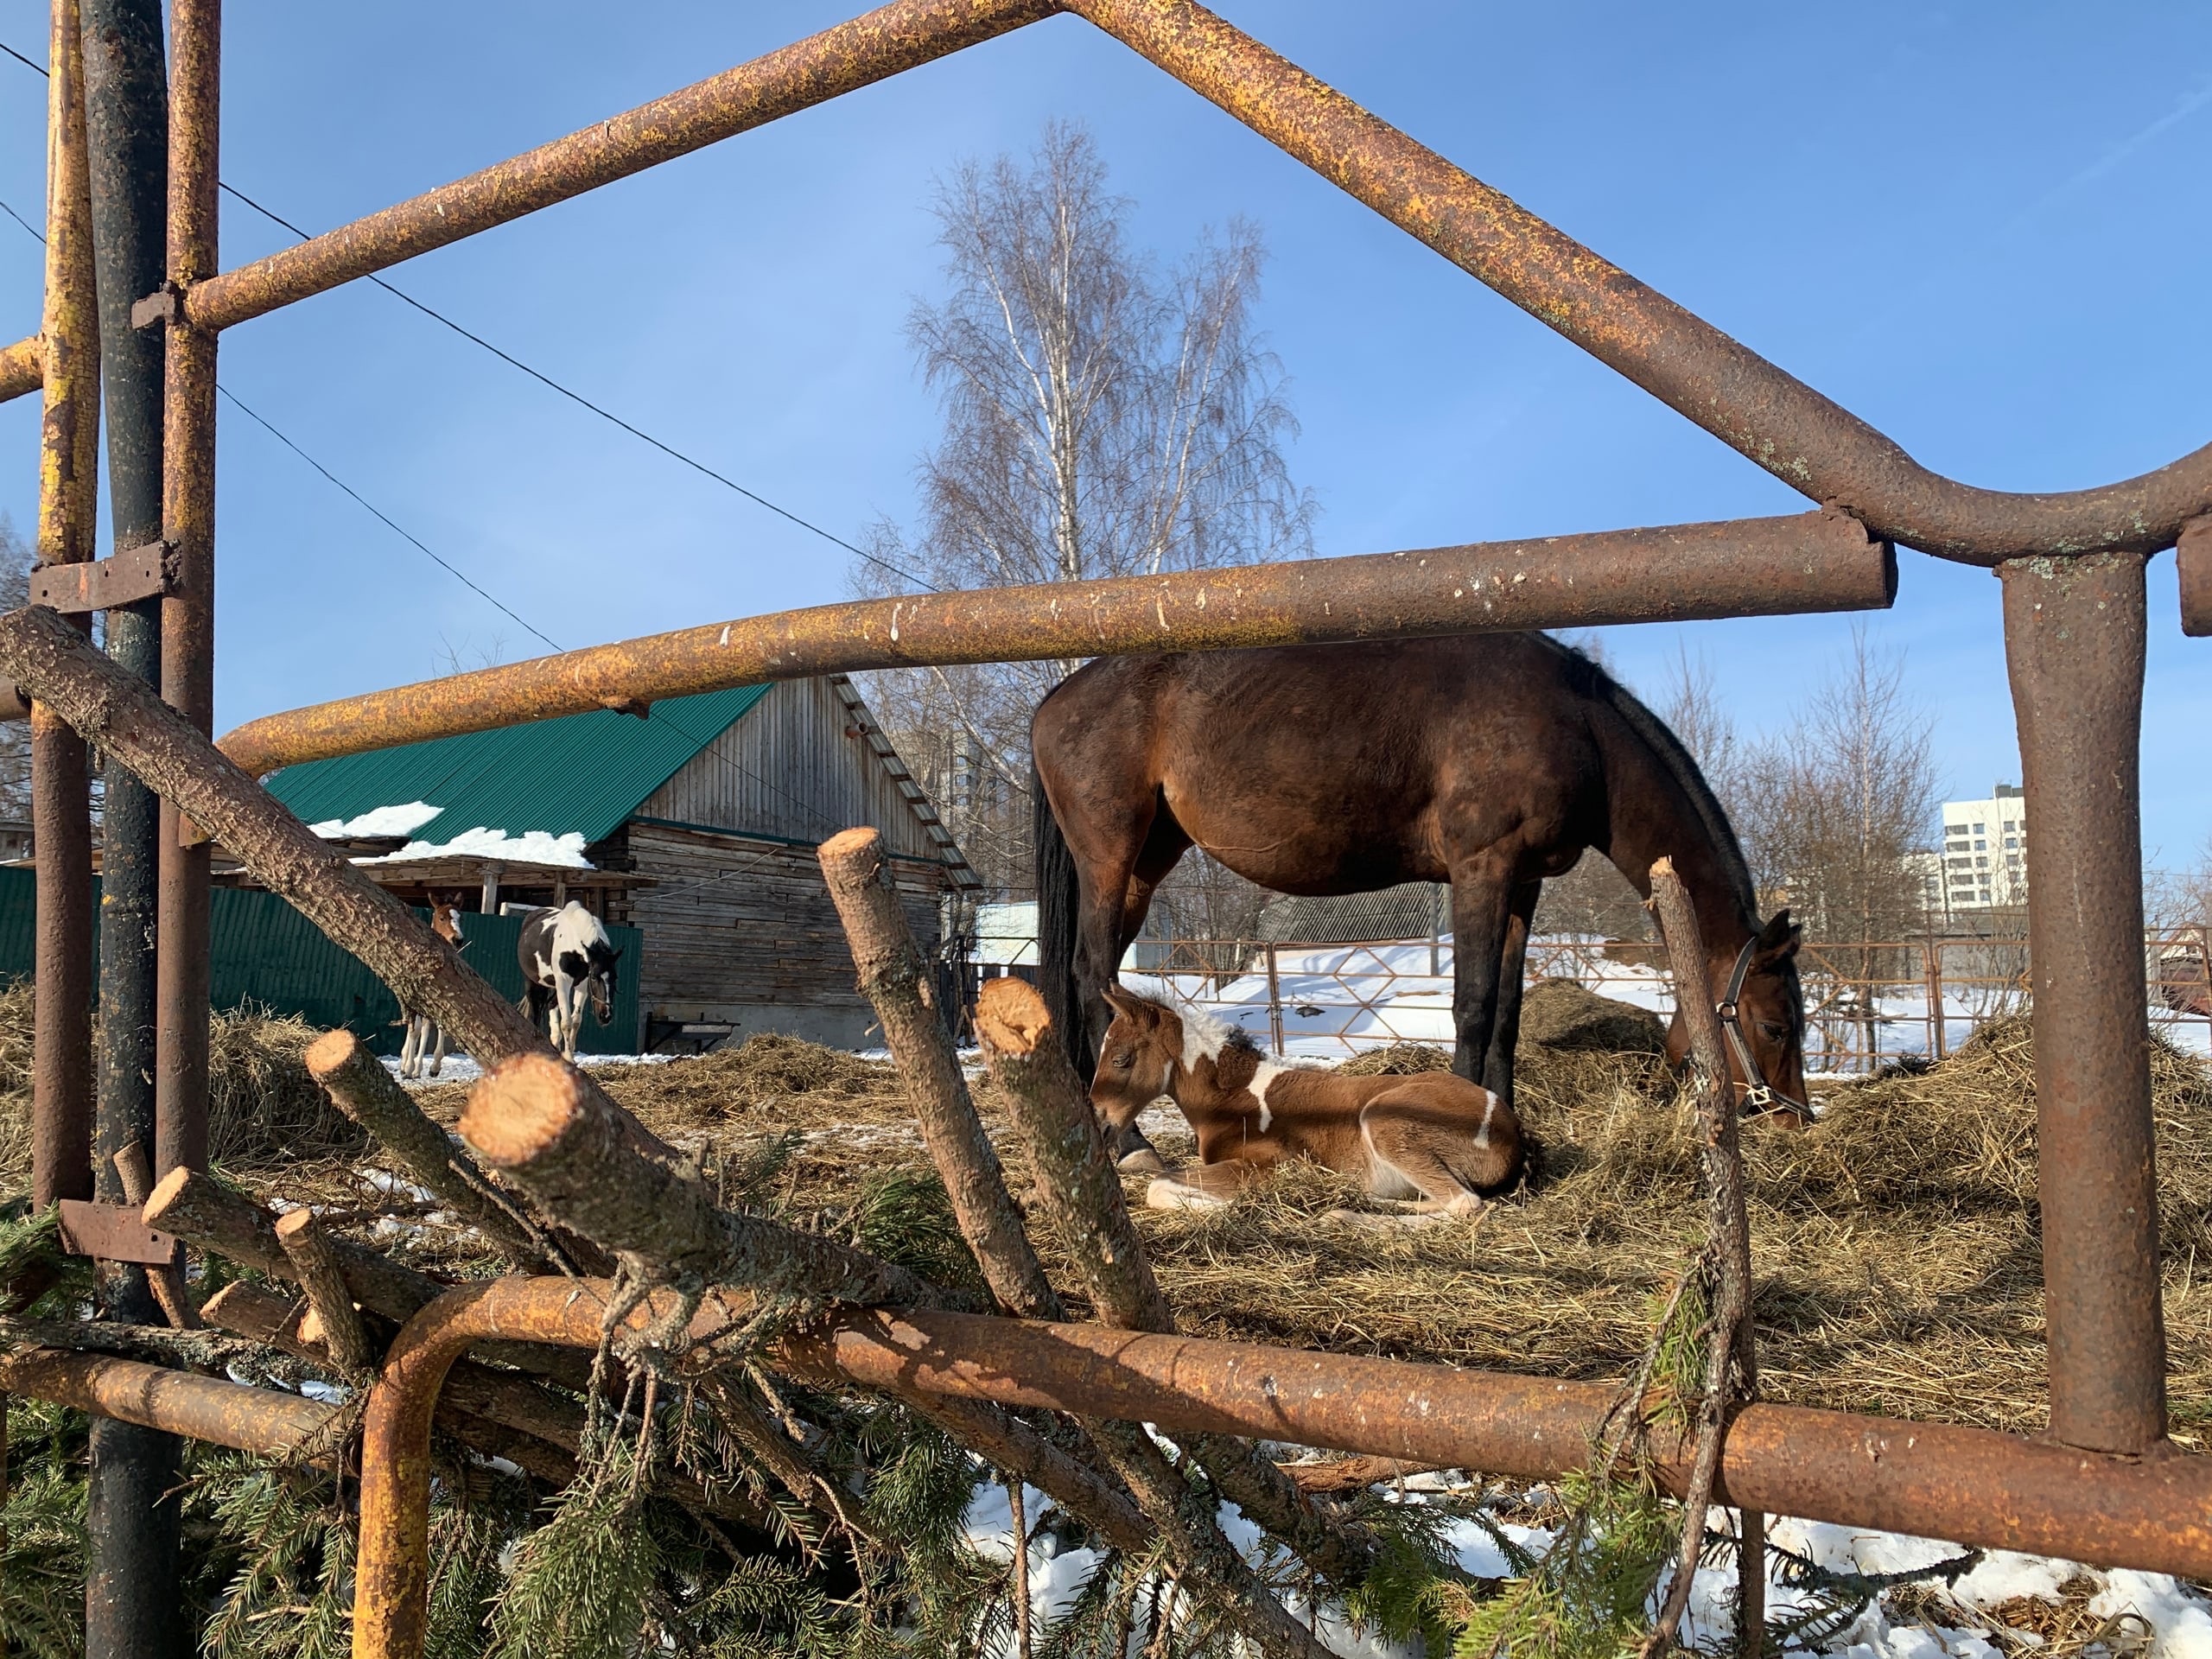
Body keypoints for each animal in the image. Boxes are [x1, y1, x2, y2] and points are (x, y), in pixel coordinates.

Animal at [518, 902, 623, 1057]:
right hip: (533, 982)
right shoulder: (563, 982)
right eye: (594, 977)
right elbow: (566, 1022)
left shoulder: (582, 986)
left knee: (551, 1006)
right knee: (535, 1013)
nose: (606, 1016)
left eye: (615, 978)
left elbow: (576, 1021)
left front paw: (570, 1055)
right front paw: (568, 1056)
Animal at [1026, 632, 1804, 1119]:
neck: (1574, 726)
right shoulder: (1482, 869)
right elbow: (1472, 1007)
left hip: (1146, 863)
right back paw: (1127, 1141)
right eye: (1773, 1023)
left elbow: (1507, 1014)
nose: (1794, 1117)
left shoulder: (1522, 885)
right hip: (1109, 856)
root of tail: (1055, 701)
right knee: (1092, 978)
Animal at [1088, 986, 1522, 1221]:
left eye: (1120, 1059)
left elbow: (1157, 1185)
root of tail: (1510, 1128)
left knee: (1465, 1204)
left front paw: (1233, 1206)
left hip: (1386, 1120)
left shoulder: (1264, 1164)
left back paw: (1339, 1216)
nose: (1098, 1121)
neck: (1234, 1098)